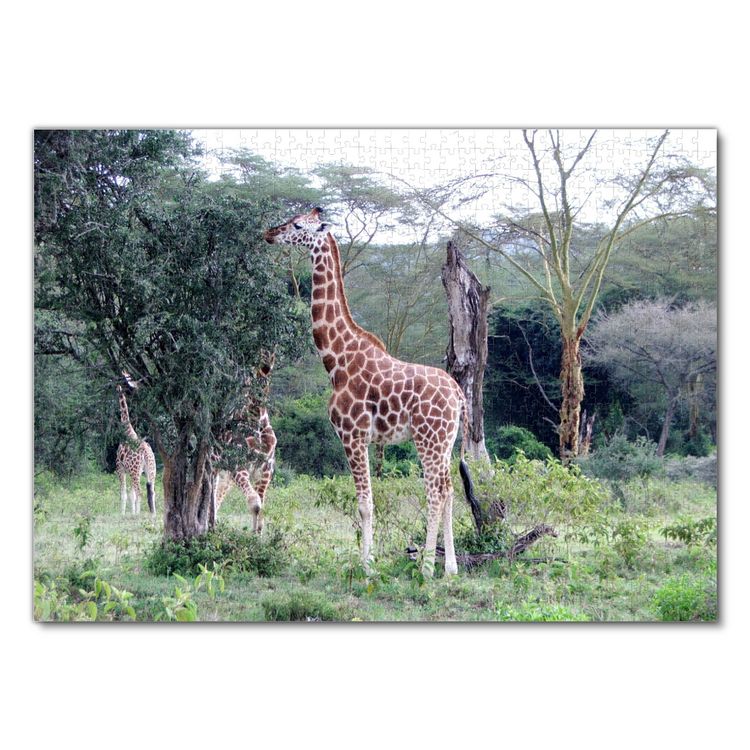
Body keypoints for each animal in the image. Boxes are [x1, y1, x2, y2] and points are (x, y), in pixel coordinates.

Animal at [115, 376, 156, 515]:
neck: (127, 431)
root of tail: (147, 453)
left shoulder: (120, 468)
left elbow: (124, 494)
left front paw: (123, 514)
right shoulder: (133, 471)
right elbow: (131, 495)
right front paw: (133, 513)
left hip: (135, 471)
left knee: (141, 493)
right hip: (150, 470)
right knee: (152, 492)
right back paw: (153, 515)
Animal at [212, 353, 277, 533]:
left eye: (274, 351)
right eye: (262, 352)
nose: (266, 366)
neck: (257, 419)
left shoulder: (266, 469)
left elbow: (261, 506)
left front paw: (257, 535)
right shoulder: (238, 465)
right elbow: (254, 502)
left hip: (226, 475)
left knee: (217, 494)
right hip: (215, 464)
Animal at [265, 207, 475, 577]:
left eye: (297, 225)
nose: (270, 234)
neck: (336, 359)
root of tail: (458, 395)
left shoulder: (353, 434)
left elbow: (365, 502)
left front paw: (367, 566)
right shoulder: (360, 437)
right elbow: (366, 501)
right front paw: (369, 561)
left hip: (428, 439)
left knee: (435, 493)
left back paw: (426, 568)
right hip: (446, 441)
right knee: (448, 489)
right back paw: (449, 567)